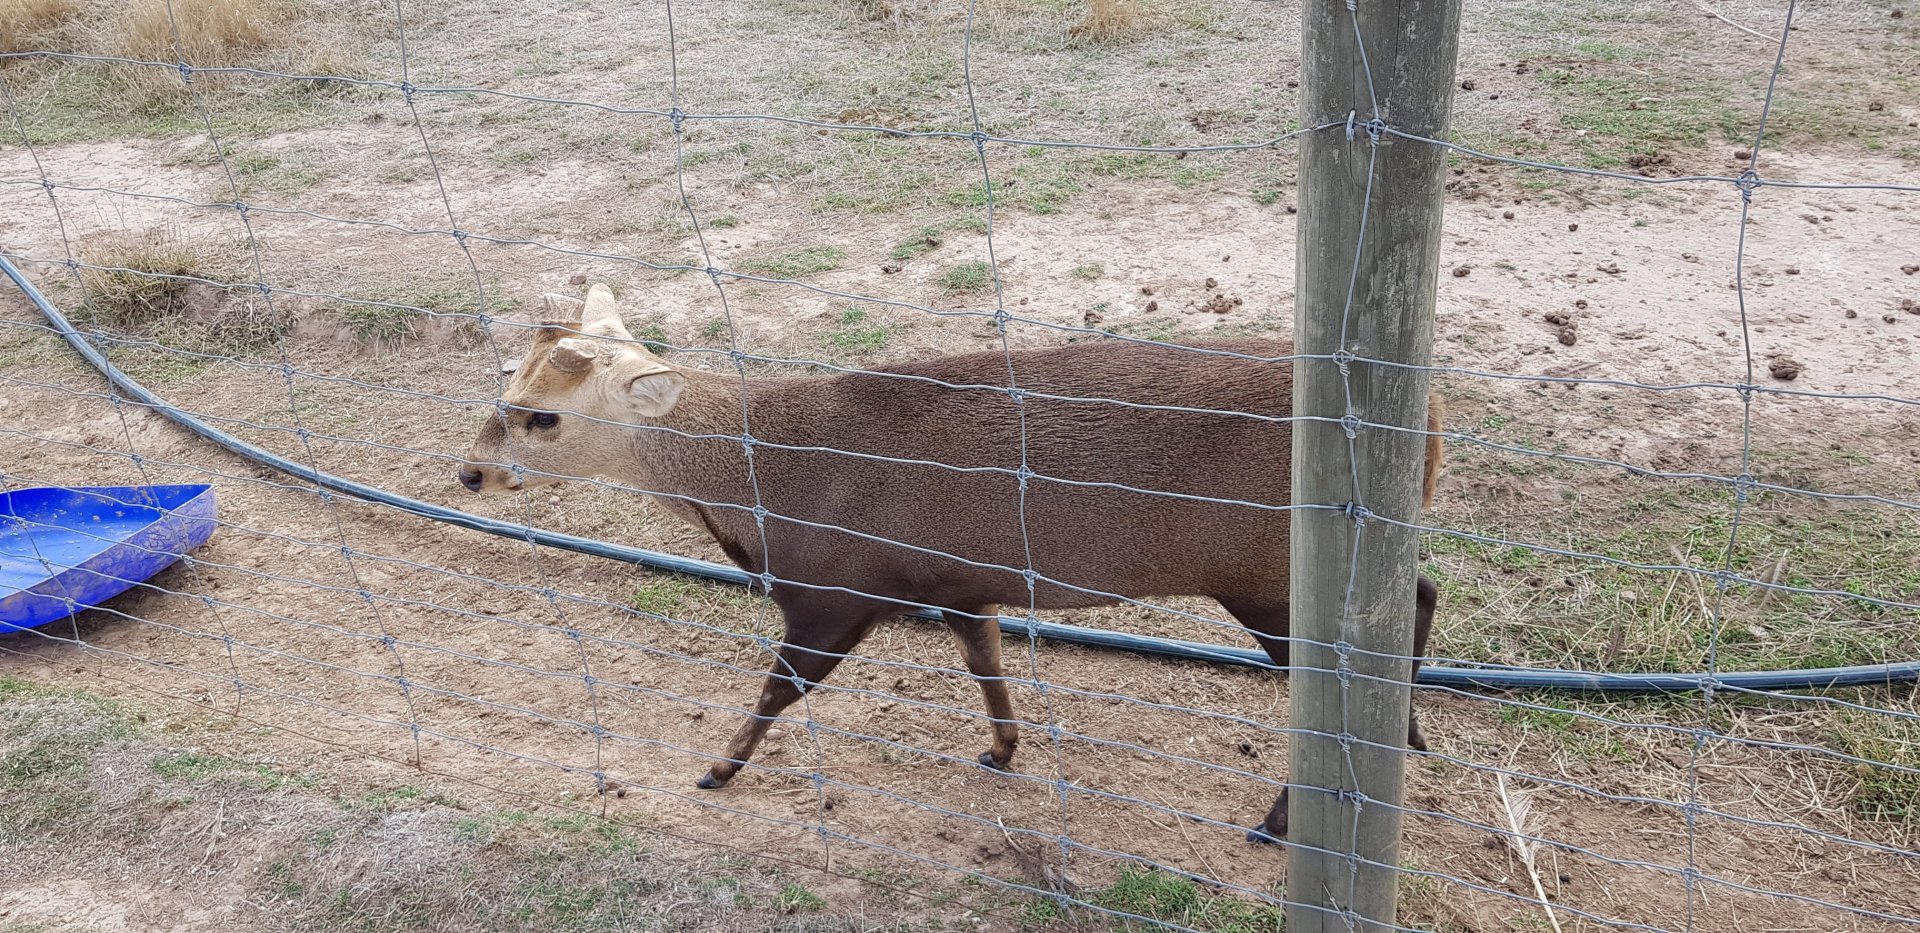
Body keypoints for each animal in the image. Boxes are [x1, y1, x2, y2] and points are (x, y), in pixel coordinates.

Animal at [457, 283, 1443, 843]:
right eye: (506, 386)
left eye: (541, 415)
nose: (469, 470)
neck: (760, 490)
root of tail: (1429, 425)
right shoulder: (961, 582)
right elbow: (986, 665)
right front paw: (1003, 748)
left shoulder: (835, 588)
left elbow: (780, 688)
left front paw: (716, 769)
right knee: (1422, 593)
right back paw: (1408, 736)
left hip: (1270, 574)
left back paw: (1287, 815)